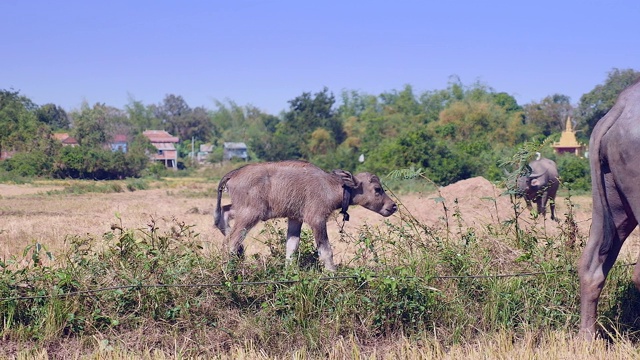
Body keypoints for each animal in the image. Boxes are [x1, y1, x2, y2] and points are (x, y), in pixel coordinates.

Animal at [212, 160, 398, 270]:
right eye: (377, 189)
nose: (393, 206)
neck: (330, 186)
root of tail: (233, 174)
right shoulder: (317, 220)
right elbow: (326, 251)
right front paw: (332, 273)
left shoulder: (295, 219)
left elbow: (291, 247)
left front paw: (289, 271)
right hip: (250, 214)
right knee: (231, 242)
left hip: (243, 210)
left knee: (224, 214)